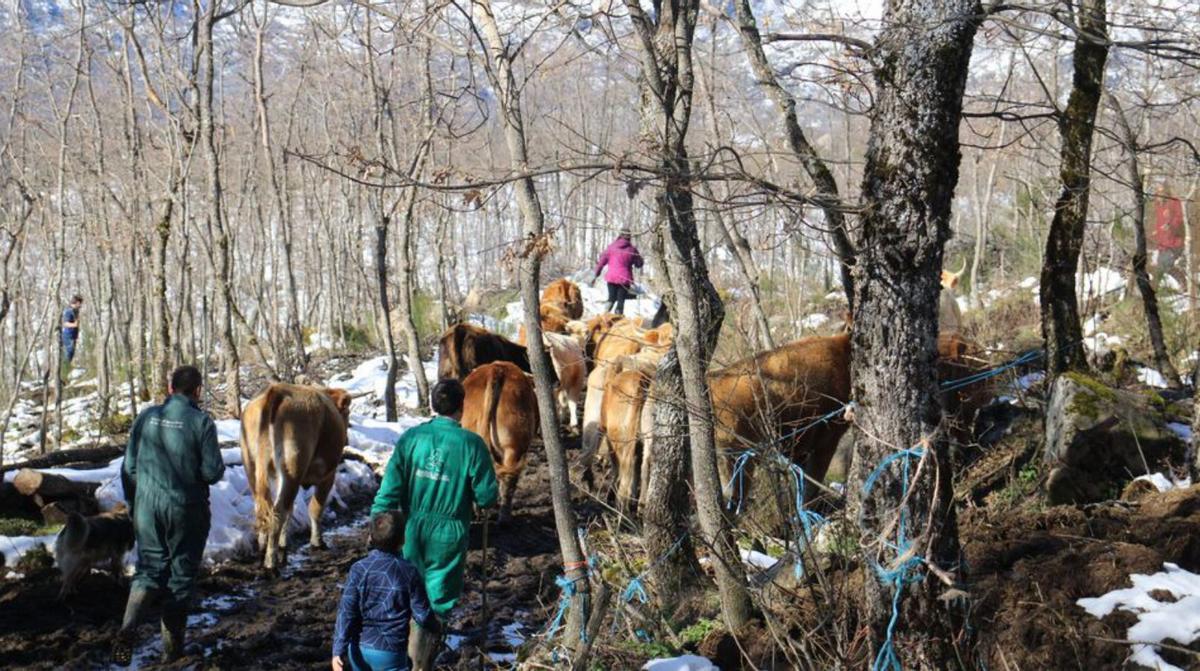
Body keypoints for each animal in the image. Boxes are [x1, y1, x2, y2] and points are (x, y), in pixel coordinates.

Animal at [238, 386, 350, 568]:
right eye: (347, 413)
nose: (347, 440)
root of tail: (276, 390)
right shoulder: (328, 476)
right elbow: (315, 508)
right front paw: (317, 542)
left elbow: (290, 511)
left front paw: (283, 543)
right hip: (293, 470)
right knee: (277, 512)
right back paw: (270, 561)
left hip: (252, 466)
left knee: (265, 508)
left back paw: (263, 546)